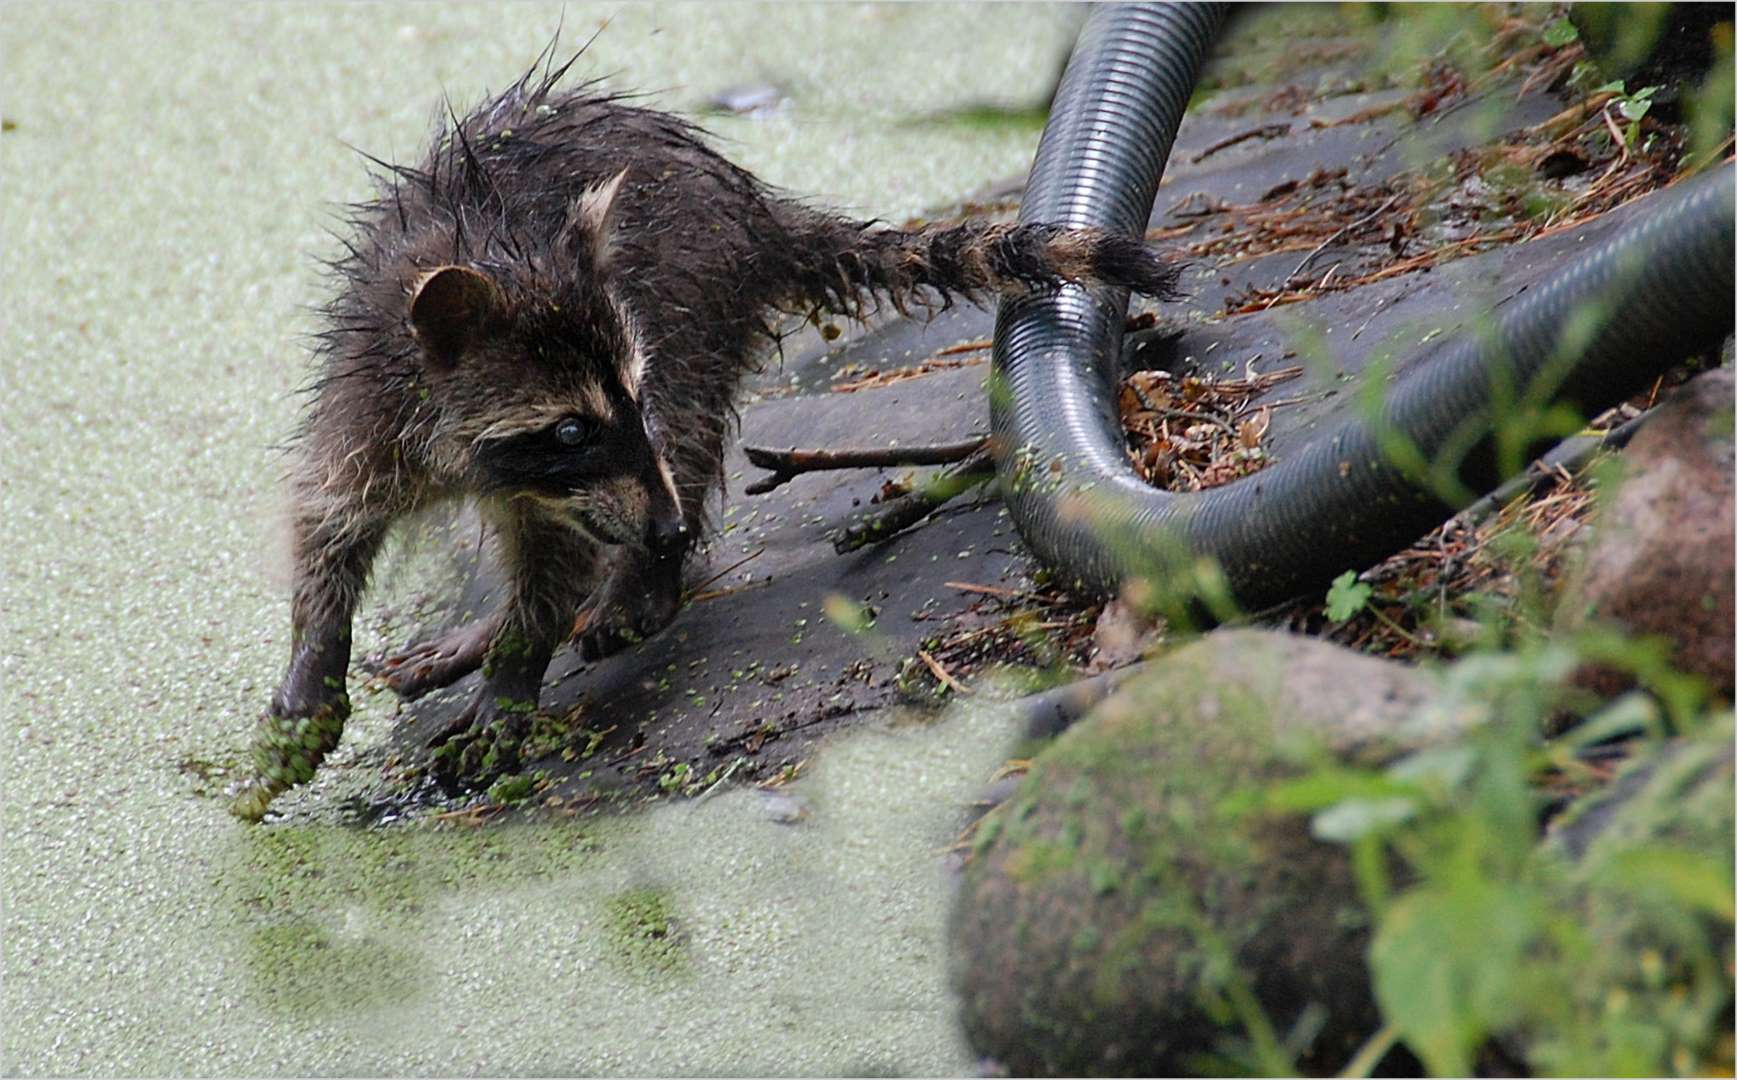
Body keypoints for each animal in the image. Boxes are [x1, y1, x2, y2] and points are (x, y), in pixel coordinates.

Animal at [231, 44, 1181, 819]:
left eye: (630, 399)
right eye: (570, 431)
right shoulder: (367, 402)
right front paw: (313, 666)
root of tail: (751, 209)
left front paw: (514, 671)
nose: (665, 530)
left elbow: (556, 560)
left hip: (691, 296)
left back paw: (634, 582)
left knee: (687, 428)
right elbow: (327, 520)